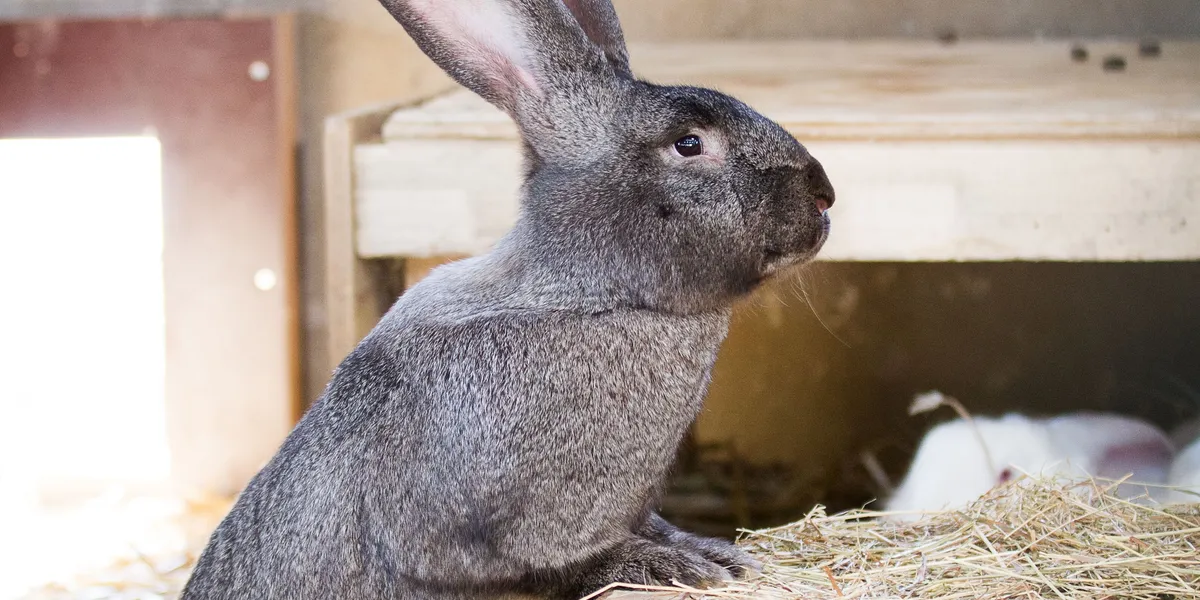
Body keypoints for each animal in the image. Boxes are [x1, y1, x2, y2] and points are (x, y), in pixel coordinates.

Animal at [181, 1, 834, 599]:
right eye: (690, 144)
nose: (825, 194)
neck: (595, 294)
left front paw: (716, 554)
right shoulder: (476, 535)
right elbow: (559, 567)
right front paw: (674, 567)